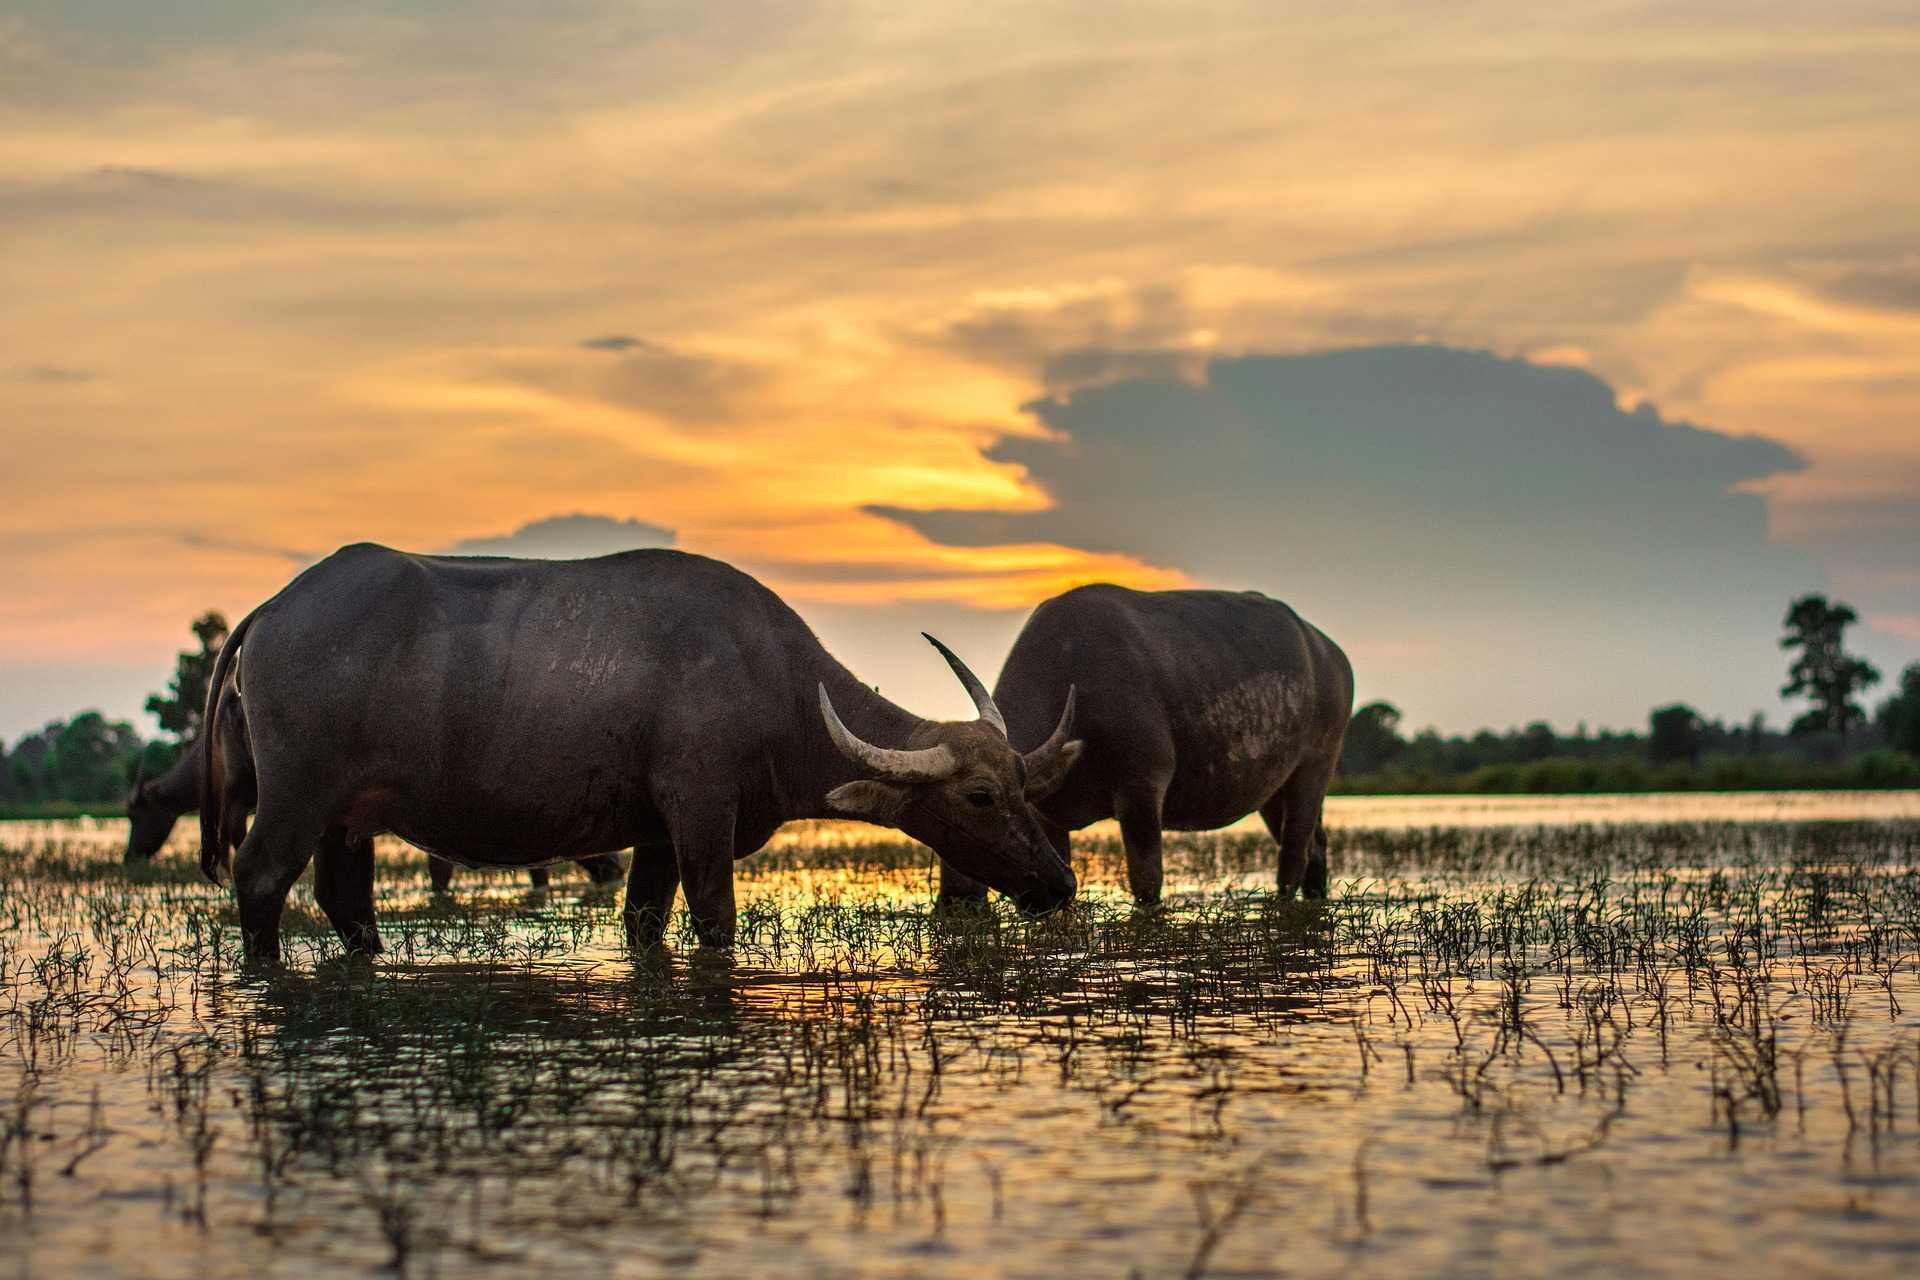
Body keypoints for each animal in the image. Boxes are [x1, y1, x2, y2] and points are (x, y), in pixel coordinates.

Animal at [201, 544, 1082, 962]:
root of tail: (272, 609)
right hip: (297, 796)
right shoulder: (700, 813)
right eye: (980, 797)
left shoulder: (655, 835)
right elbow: (717, 921)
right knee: (261, 878)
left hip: (346, 818)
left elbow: (644, 924)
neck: (775, 684)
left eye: (1025, 782)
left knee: (346, 902)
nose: (1060, 883)